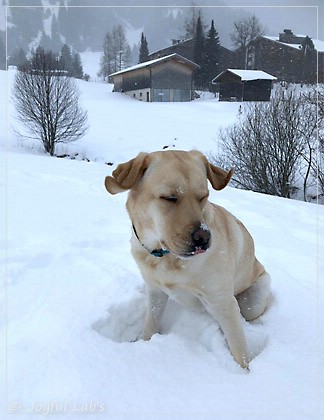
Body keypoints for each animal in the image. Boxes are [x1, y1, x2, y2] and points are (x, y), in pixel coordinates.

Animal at [105, 150, 270, 368]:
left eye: (203, 196)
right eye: (170, 198)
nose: (203, 238)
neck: (166, 258)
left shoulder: (222, 302)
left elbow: (239, 351)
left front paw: (245, 372)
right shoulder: (155, 291)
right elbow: (151, 323)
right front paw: (143, 342)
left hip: (254, 300)